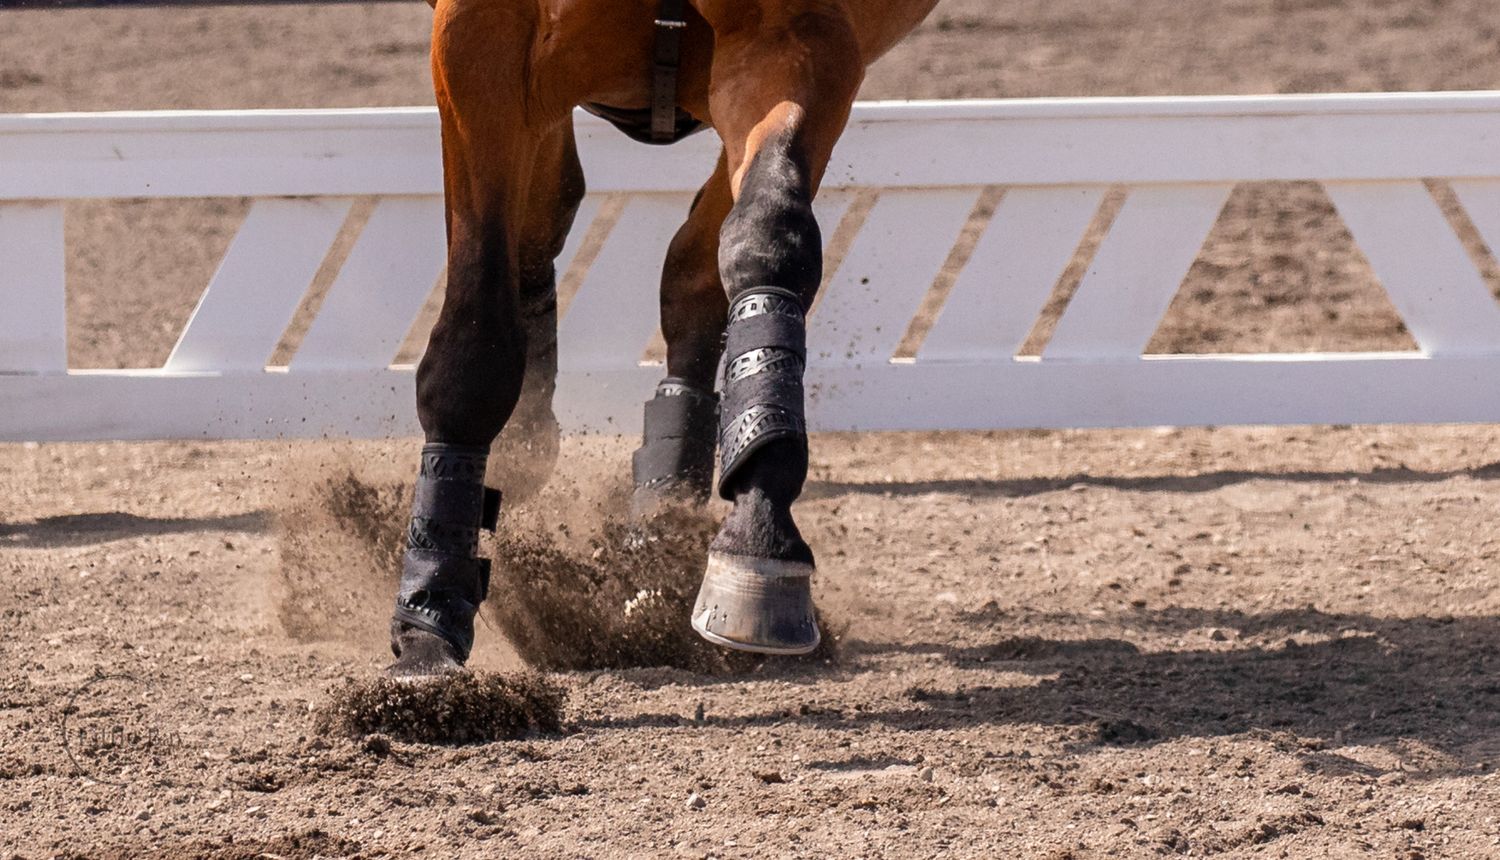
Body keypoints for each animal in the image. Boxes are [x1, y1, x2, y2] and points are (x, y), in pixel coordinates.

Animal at [388, 0, 941, 676]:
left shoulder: (794, 41)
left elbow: (766, 238)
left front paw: (758, 534)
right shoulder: (481, 44)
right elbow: (477, 331)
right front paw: (431, 611)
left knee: (689, 274)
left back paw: (662, 517)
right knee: (541, 228)